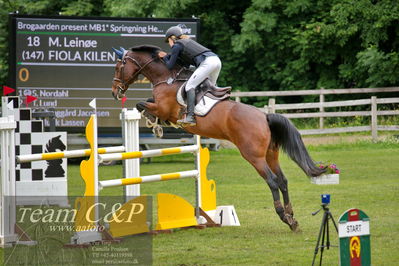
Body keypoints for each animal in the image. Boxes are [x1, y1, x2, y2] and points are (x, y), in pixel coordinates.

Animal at [111, 45, 326, 231]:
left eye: (119, 67)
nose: (115, 92)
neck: (166, 78)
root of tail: (264, 117)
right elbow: (145, 103)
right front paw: (155, 124)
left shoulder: (164, 109)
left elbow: (142, 104)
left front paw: (155, 125)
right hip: (270, 154)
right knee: (282, 180)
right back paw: (292, 217)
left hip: (253, 156)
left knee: (272, 181)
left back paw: (284, 216)